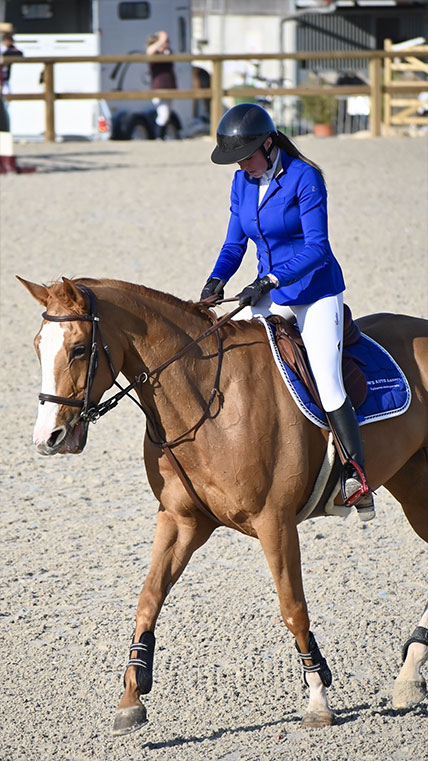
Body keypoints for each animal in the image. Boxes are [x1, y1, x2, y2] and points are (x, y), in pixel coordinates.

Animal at [18, 275, 428, 735]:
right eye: (37, 346)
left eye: (78, 349)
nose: (47, 439)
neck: (206, 400)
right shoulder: (182, 520)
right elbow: (148, 598)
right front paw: (131, 698)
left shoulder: (275, 522)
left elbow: (292, 608)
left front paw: (318, 699)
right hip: (412, 480)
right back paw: (411, 674)